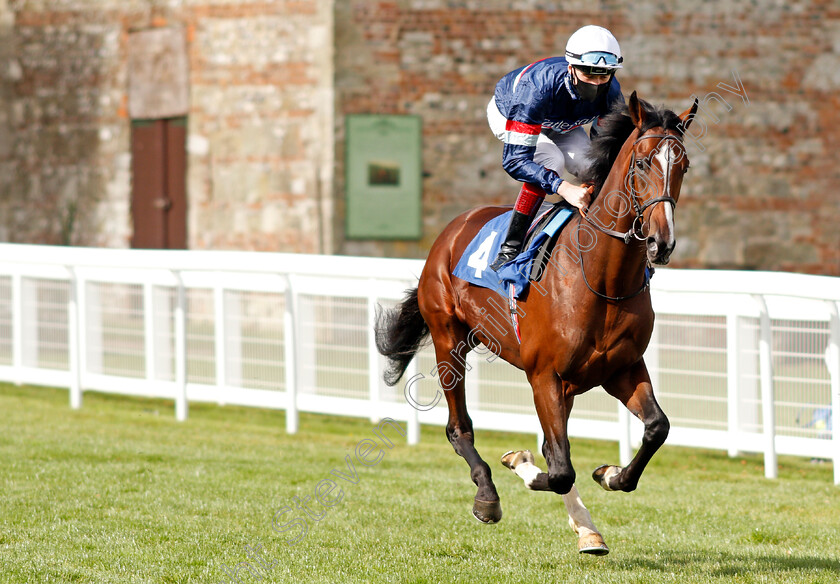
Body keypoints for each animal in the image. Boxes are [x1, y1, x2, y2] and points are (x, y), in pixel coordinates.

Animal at [374, 93, 696, 556]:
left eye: (683, 165)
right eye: (641, 163)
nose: (661, 242)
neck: (601, 279)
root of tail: (453, 228)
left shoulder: (621, 369)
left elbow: (656, 428)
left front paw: (610, 475)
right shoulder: (544, 373)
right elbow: (559, 469)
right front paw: (520, 463)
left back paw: (586, 528)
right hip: (448, 340)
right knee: (460, 428)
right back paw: (487, 495)